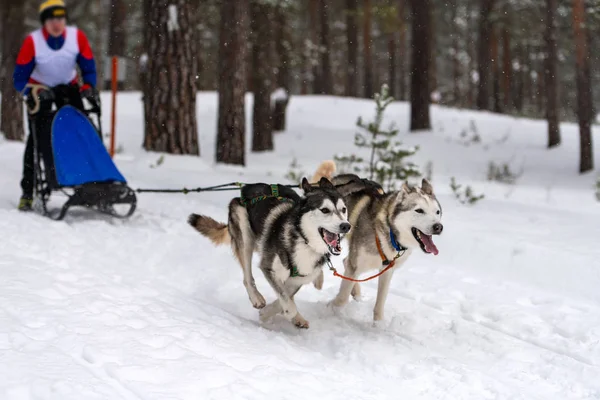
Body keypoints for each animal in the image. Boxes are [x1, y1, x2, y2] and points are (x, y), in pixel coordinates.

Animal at [185, 177, 350, 328]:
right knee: (247, 277)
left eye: (343, 209)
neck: (304, 241)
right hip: (245, 237)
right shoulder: (269, 268)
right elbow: (286, 300)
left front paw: (273, 313)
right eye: (325, 210)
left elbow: (285, 296)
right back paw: (256, 297)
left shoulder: (298, 279)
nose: (346, 226)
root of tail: (247, 188)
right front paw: (283, 313)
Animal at [326, 172, 442, 322]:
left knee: (346, 262)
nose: (438, 227)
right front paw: (330, 308)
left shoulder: (387, 271)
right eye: (419, 211)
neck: (390, 232)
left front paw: (379, 324)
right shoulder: (357, 263)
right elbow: (342, 298)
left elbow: (380, 302)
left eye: (437, 212)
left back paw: (356, 293)